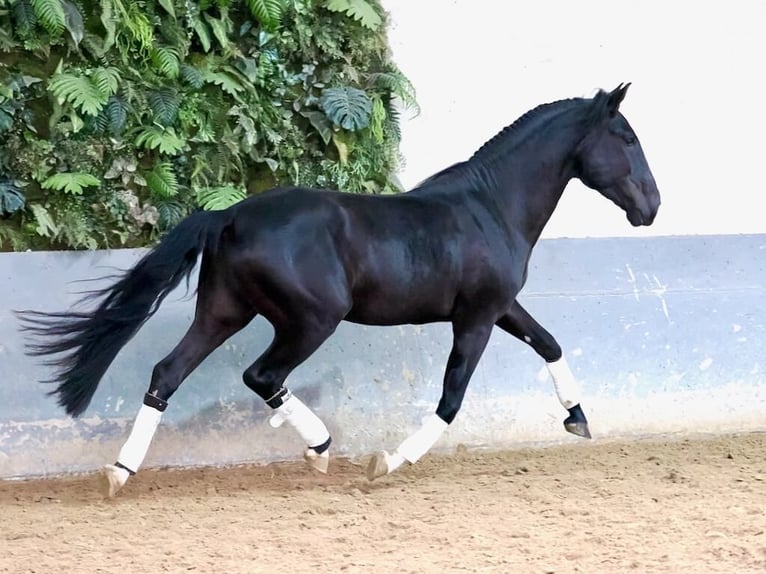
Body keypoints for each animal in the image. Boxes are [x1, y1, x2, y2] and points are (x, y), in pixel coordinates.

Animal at [18, 83, 660, 498]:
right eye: (626, 138)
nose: (652, 208)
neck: (488, 206)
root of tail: (228, 217)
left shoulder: (501, 307)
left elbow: (548, 343)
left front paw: (577, 418)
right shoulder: (476, 317)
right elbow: (452, 398)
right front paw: (388, 462)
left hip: (223, 313)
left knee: (166, 375)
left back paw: (120, 471)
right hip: (311, 320)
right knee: (261, 376)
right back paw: (321, 447)